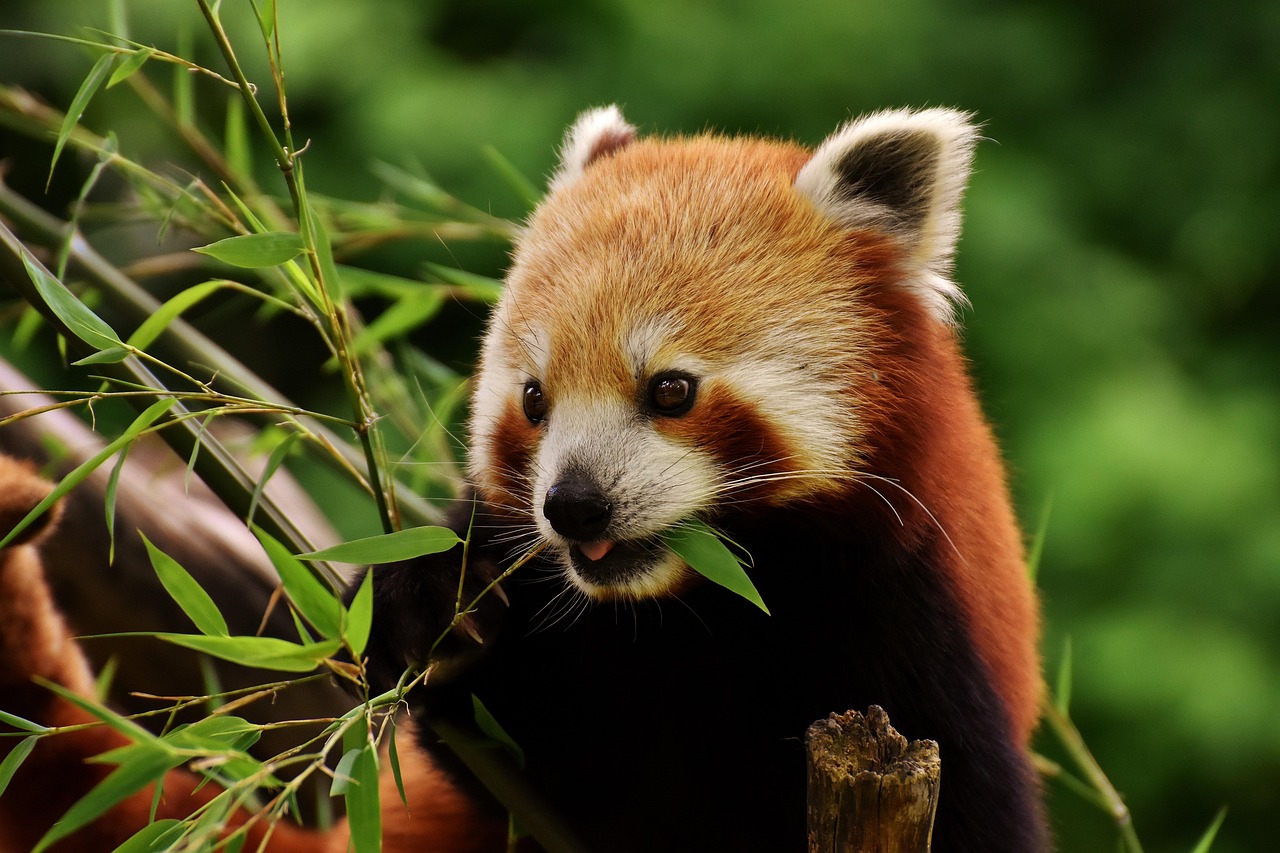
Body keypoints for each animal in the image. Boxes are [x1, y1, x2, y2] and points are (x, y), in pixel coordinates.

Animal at [0, 108, 1039, 850]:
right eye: (534, 399)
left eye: (671, 389)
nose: (572, 503)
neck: (690, 614)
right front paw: (432, 600)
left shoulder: (908, 637)